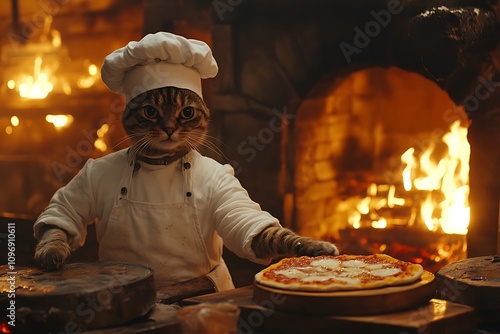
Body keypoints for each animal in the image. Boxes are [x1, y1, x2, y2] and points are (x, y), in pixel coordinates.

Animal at [34, 87, 340, 288]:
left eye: (187, 113)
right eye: (151, 111)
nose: (169, 128)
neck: (159, 164)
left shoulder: (232, 195)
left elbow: (276, 234)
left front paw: (314, 246)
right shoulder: (85, 180)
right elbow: (58, 222)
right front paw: (51, 252)